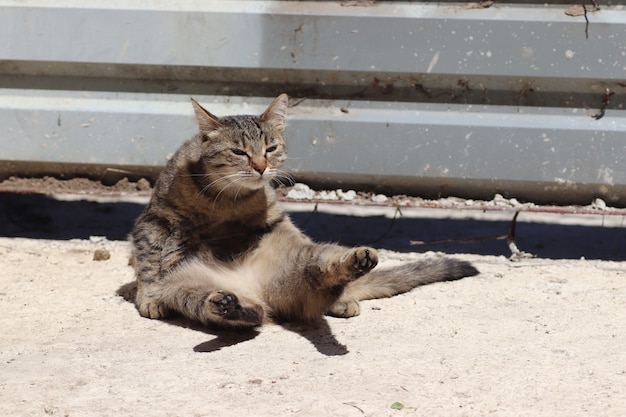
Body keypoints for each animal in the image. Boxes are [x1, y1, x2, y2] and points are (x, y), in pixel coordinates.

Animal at [129, 94, 476, 328]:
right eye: (239, 152)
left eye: (270, 148)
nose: (261, 167)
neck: (227, 198)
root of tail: (261, 292)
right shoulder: (153, 221)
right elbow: (148, 263)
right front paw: (150, 296)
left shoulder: (276, 218)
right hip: (187, 288)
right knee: (240, 312)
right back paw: (230, 305)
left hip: (307, 258)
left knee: (326, 275)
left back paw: (354, 268)